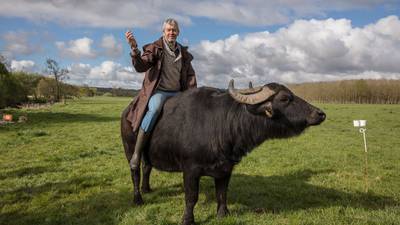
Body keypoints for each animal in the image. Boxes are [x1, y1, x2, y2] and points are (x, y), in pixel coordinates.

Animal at [121, 80, 324, 224]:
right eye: (284, 99)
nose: (320, 113)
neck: (221, 124)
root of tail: (127, 112)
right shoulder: (190, 170)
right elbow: (191, 197)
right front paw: (188, 219)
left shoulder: (226, 169)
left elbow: (222, 193)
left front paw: (222, 214)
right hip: (130, 149)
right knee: (135, 170)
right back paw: (138, 198)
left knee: (147, 168)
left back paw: (147, 189)